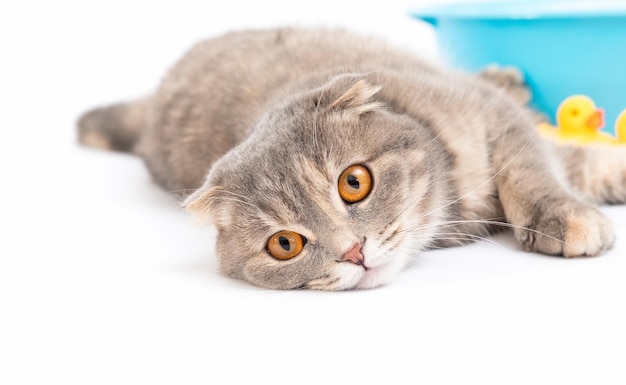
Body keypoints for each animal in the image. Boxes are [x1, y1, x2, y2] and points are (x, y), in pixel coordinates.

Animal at [78, 28, 624, 290]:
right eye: (285, 244)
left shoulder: (491, 114)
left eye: (354, 183)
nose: (354, 253)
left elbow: (534, 167)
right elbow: (562, 159)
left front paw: (563, 213)